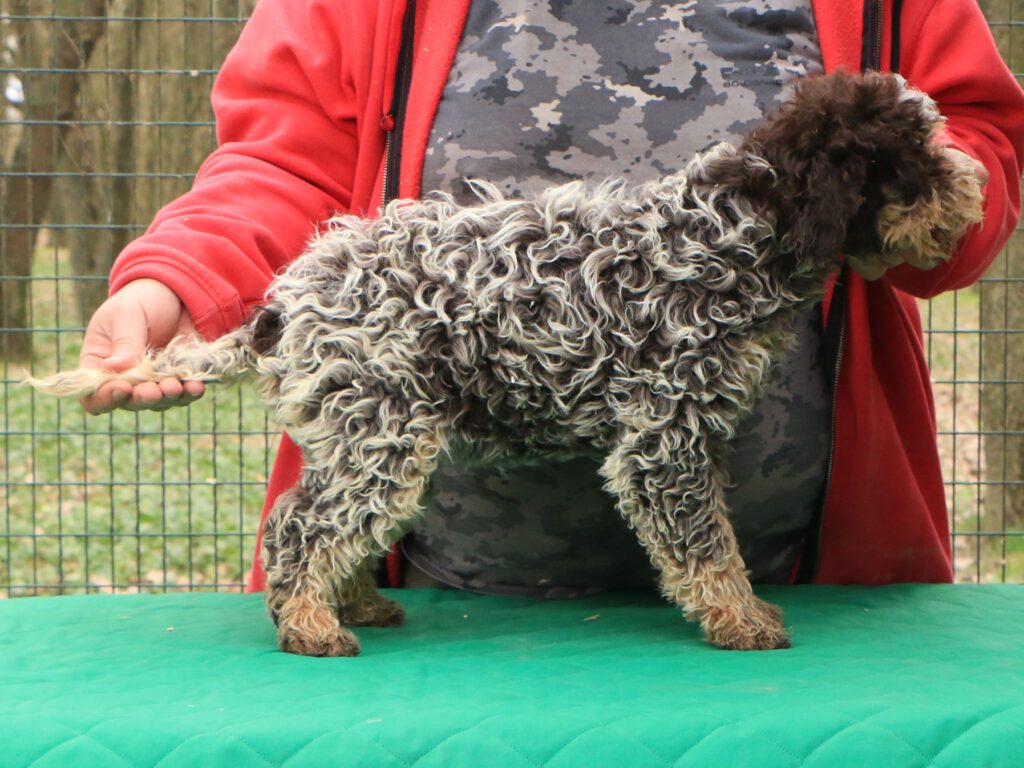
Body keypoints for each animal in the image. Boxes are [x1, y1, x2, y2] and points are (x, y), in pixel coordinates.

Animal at [32, 72, 983, 655]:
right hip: (382, 431)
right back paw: (311, 624)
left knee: (322, 522)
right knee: (302, 526)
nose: (974, 194)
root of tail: (282, 302)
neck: (724, 235)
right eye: (917, 158)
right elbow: (707, 543)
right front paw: (742, 618)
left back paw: (352, 601)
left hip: (356, 431)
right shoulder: (663, 438)